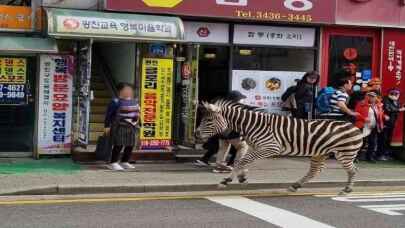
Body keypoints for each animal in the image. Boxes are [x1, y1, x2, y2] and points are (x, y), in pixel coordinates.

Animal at [193, 99, 362, 193]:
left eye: (208, 121)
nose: (195, 135)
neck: (252, 126)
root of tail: (353, 126)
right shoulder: (255, 147)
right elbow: (241, 161)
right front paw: (241, 176)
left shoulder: (271, 147)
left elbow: (243, 161)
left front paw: (226, 180)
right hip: (319, 153)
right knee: (315, 171)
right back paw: (295, 186)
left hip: (344, 153)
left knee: (353, 170)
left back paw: (347, 189)